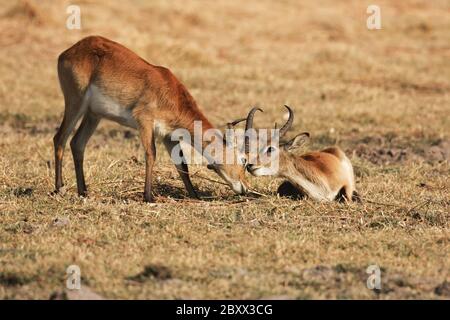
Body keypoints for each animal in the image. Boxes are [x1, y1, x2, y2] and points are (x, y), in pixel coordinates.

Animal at [55, 36, 251, 201]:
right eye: (243, 160)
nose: (245, 188)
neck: (171, 94)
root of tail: (68, 51)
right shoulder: (145, 122)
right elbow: (151, 154)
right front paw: (148, 197)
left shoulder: (167, 135)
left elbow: (182, 165)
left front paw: (195, 196)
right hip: (75, 102)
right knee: (60, 138)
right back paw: (59, 189)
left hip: (93, 115)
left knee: (77, 143)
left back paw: (83, 192)